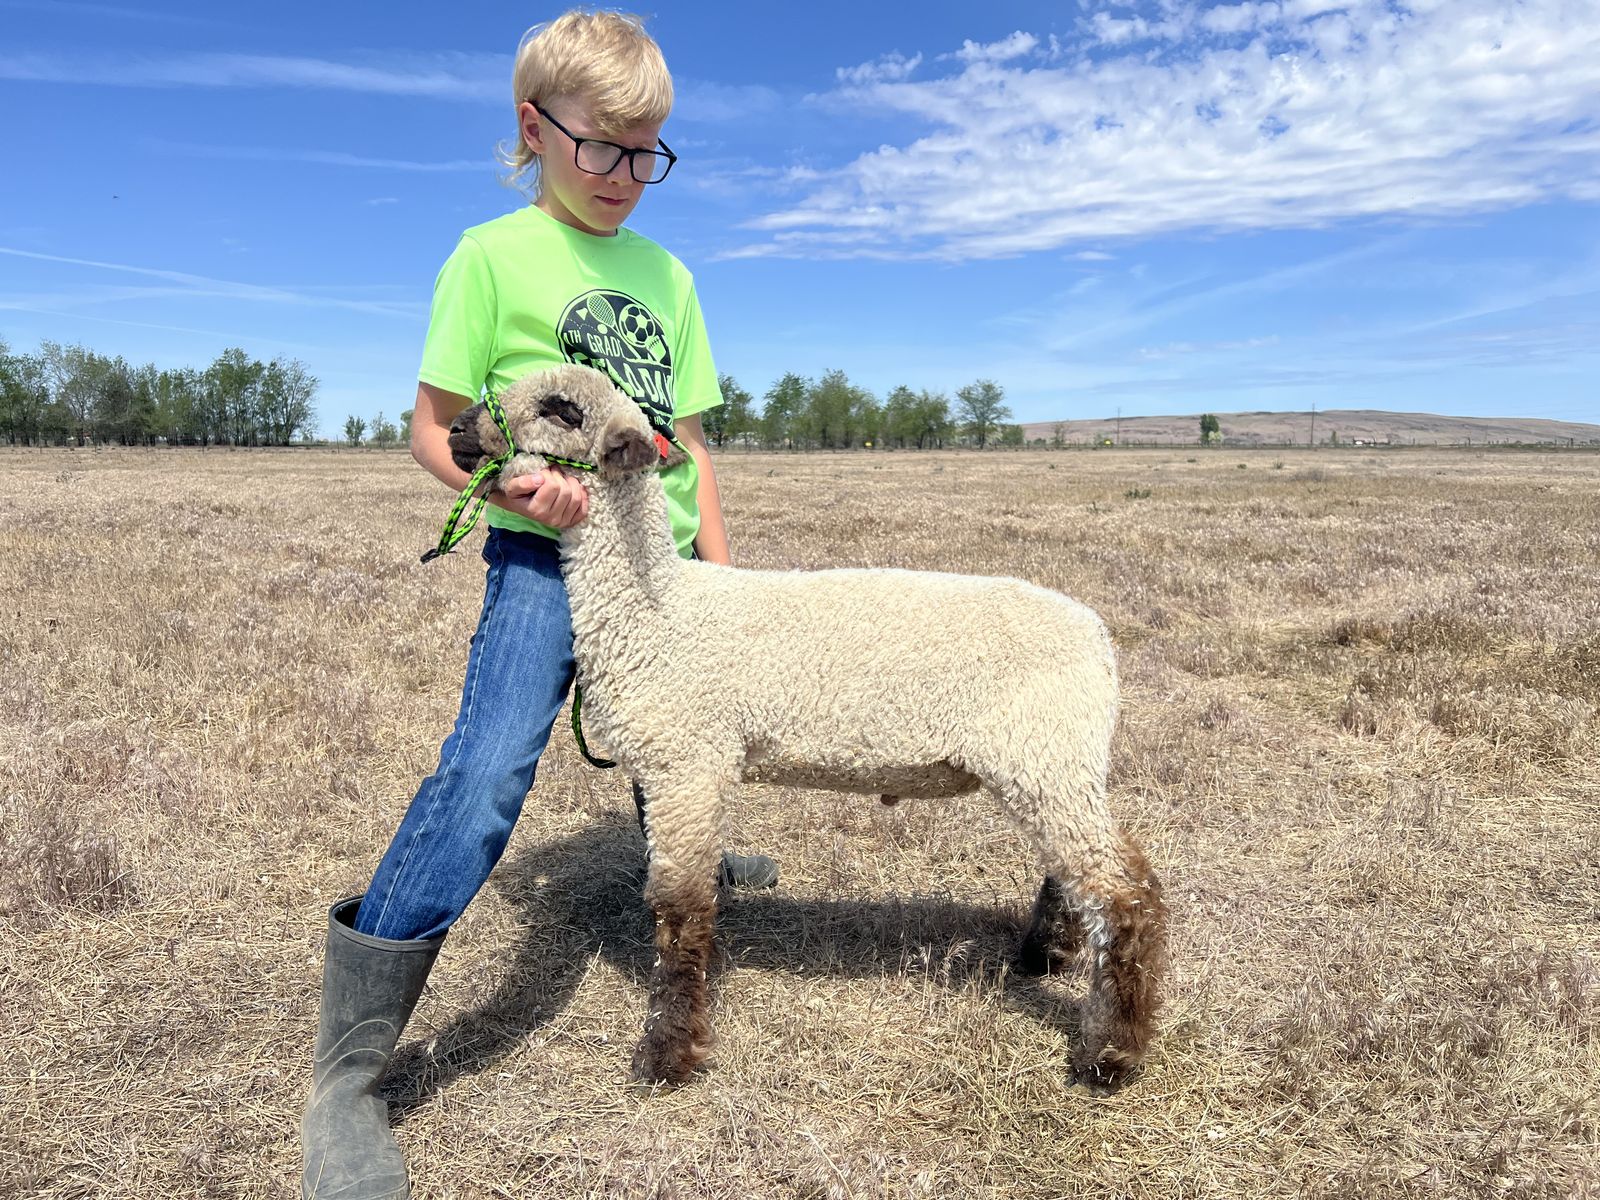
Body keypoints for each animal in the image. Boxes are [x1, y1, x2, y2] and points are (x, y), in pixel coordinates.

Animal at [442, 363, 1167, 1092]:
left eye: (561, 408)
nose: (456, 431)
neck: (657, 608)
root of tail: (1098, 635)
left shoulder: (688, 763)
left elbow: (680, 911)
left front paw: (668, 1054)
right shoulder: (674, 761)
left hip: (1049, 753)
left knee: (1126, 893)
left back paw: (1113, 1054)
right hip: (1049, 761)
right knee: (1079, 869)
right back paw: (1044, 957)